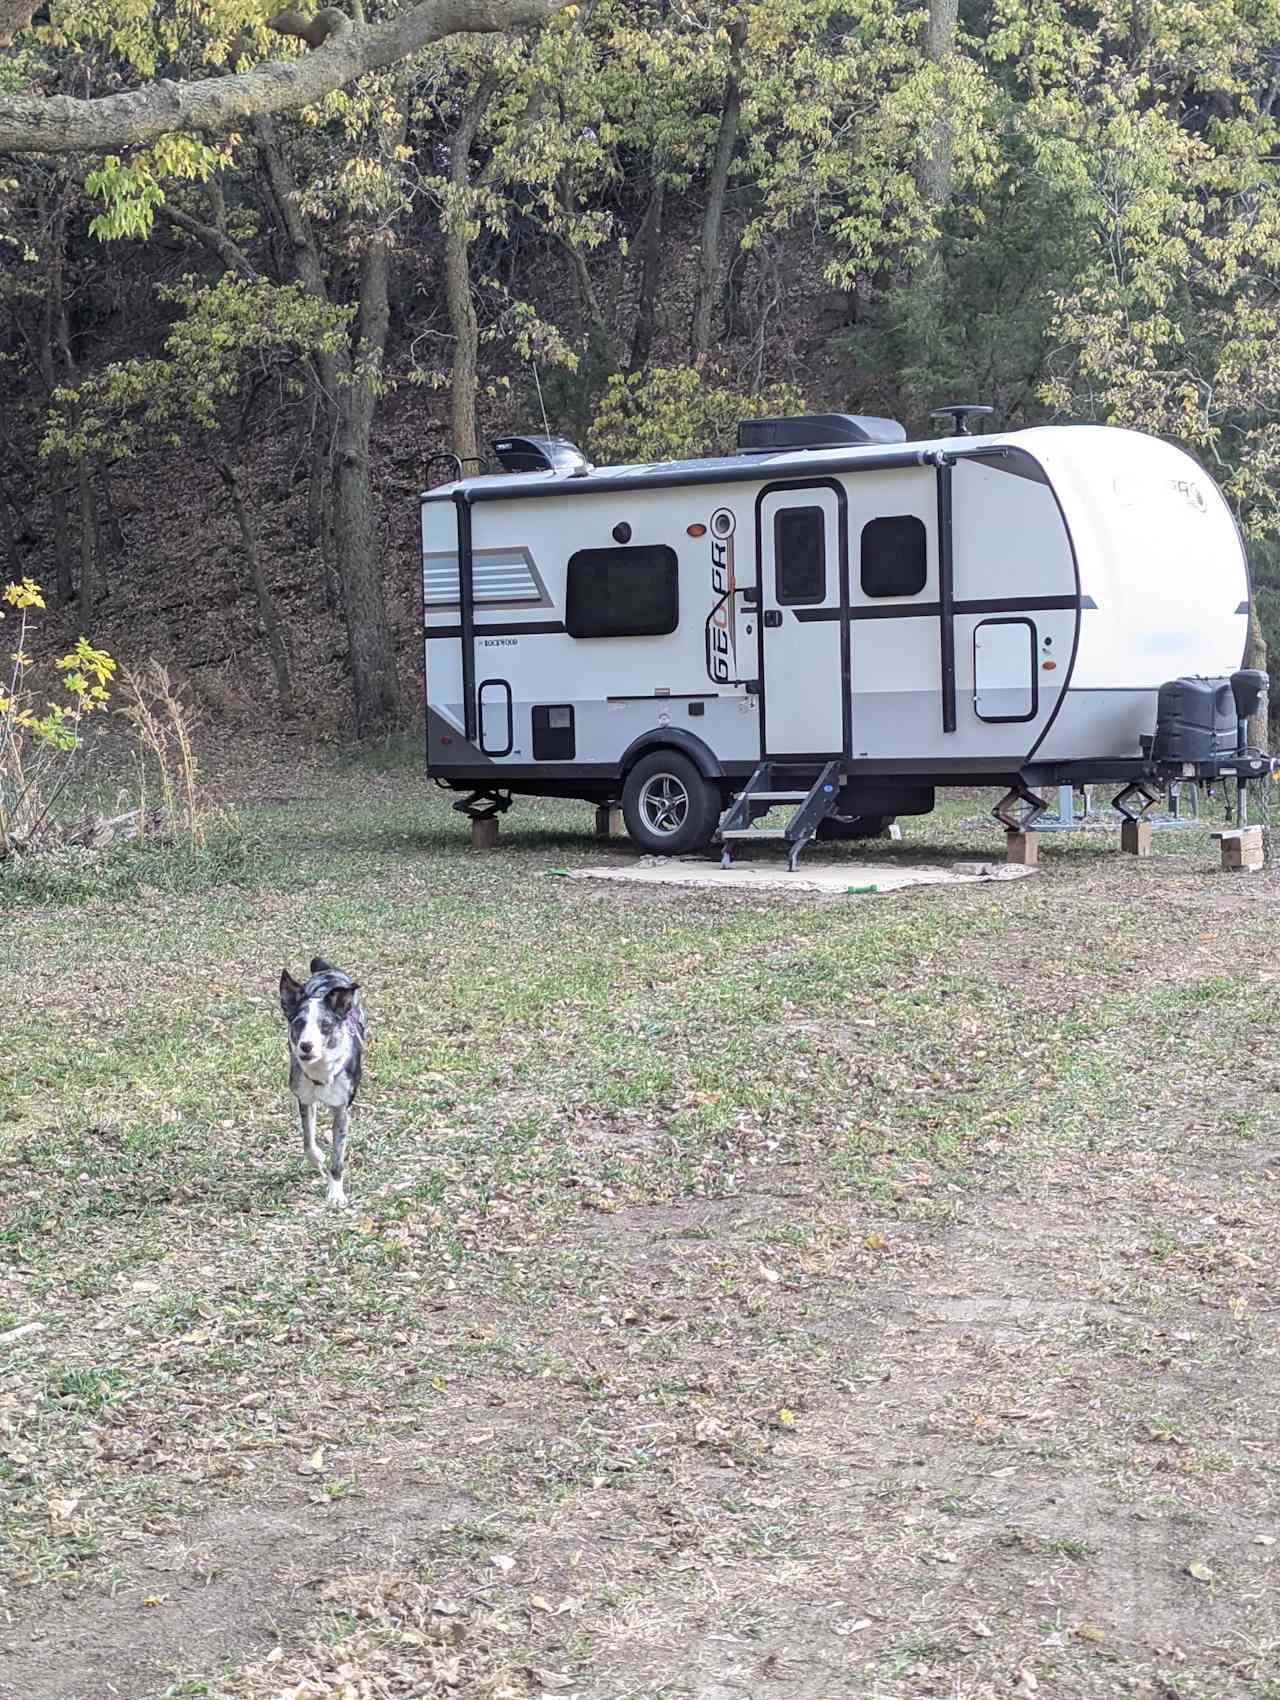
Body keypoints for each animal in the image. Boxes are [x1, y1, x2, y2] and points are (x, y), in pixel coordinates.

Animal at [275, 958, 363, 1210]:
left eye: (325, 1025)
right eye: (299, 1023)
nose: (306, 1046)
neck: (322, 1070)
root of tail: (326, 969)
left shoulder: (342, 1111)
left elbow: (338, 1159)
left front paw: (336, 1194)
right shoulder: (304, 1100)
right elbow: (308, 1141)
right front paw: (318, 1158)